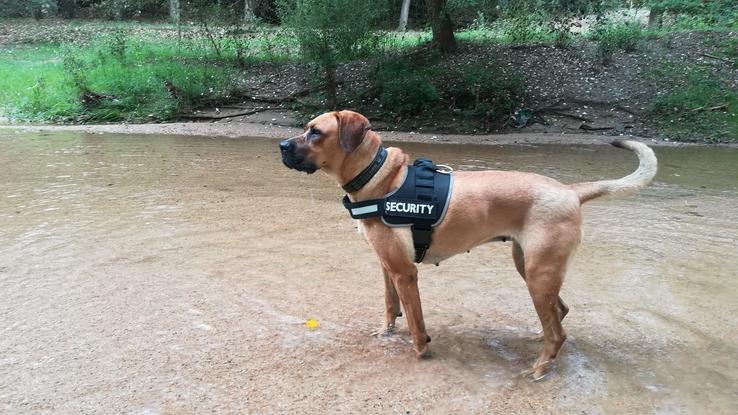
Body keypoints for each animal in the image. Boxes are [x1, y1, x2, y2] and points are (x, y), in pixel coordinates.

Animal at [278, 110, 656, 380]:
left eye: (315, 132)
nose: (281, 146)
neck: (378, 176)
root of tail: (570, 191)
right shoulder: (386, 266)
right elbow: (389, 306)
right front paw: (385, 333)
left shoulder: (405, 272)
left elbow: (416, 323)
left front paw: (421, 352)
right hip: (530, 267)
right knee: (558, 314)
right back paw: (540, 339)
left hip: (539, 273)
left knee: (559, 332)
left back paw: (539, 368)